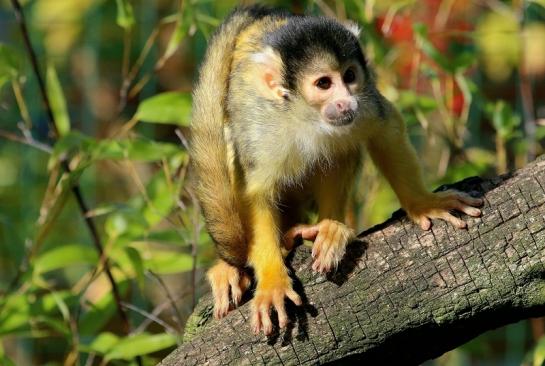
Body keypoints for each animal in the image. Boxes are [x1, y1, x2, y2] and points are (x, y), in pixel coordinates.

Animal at [190, 5, 480, 336]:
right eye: (324, 84)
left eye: (350, 76)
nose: (345, 102)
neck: (304, 115)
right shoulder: (259, 125)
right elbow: (256, 194)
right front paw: (272, 279)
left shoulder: (365, 100)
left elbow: (385, 127)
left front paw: (423, 204)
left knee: (339, 150)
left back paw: (329, 228)